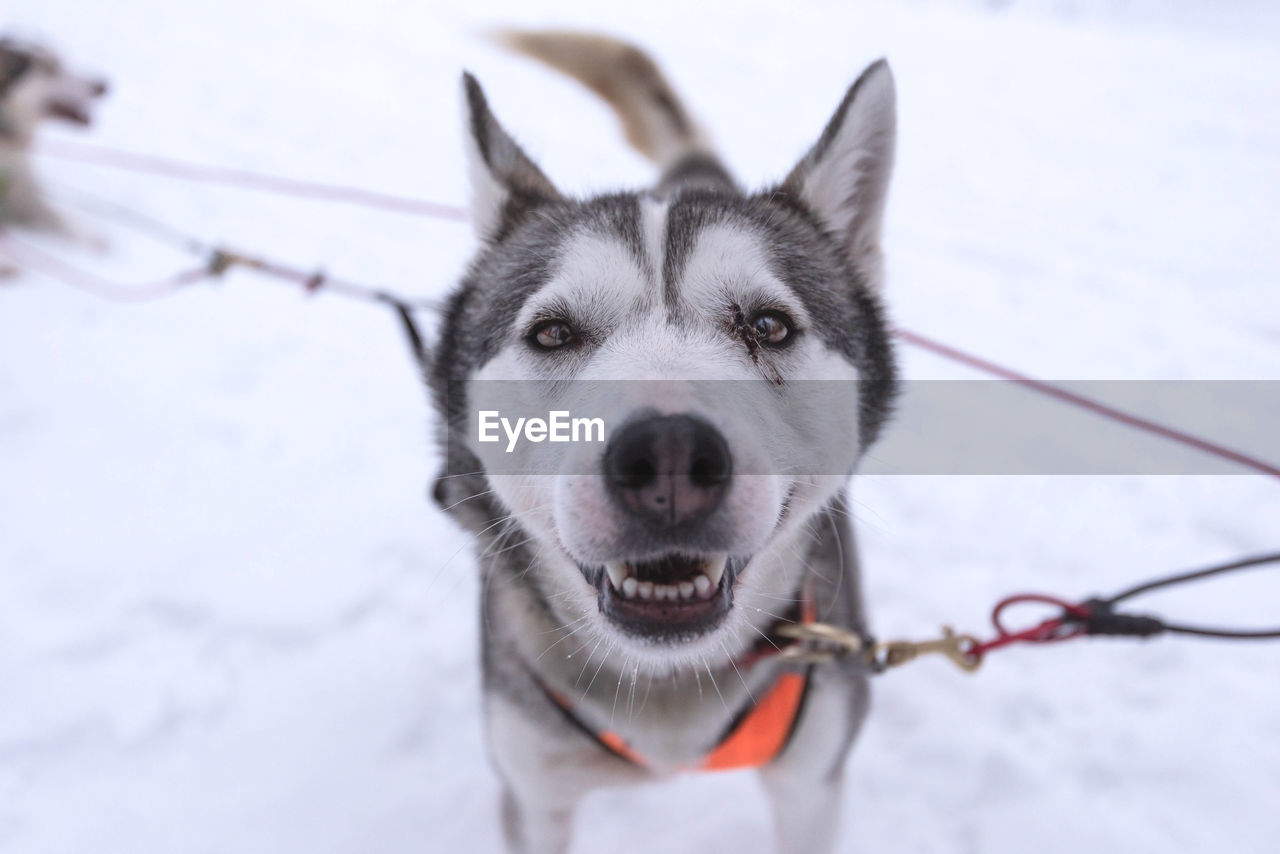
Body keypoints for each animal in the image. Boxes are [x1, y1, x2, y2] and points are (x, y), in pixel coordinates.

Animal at [435, 30, 896, 850]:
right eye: (553, 333)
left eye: (769, 324)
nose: (671, 456)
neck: (670, 694)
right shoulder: (534, 792)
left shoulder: (812, 784)